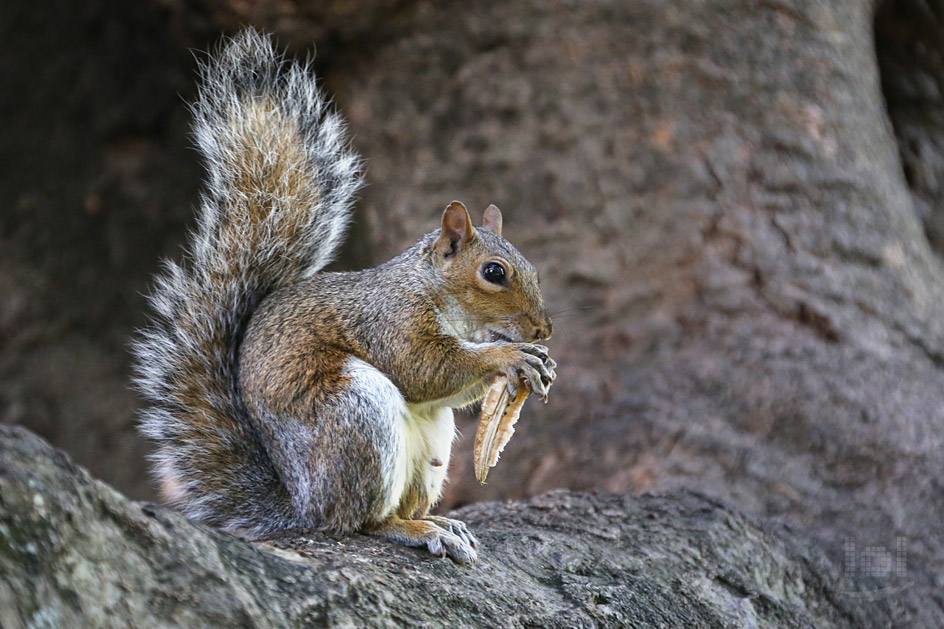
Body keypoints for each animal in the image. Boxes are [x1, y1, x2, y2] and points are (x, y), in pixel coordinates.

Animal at [136, 29, 556, 568]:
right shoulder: (389, 320)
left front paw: (534, 360)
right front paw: (508, 356)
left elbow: (445, 385)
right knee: (361, 523)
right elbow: (423, 368)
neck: (431, 290)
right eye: (494, 272)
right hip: (357, 415)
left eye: (532, 268)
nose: (544, 330)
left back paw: (440, 522)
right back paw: (413, 529)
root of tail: (302, 505)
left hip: (430, 447)